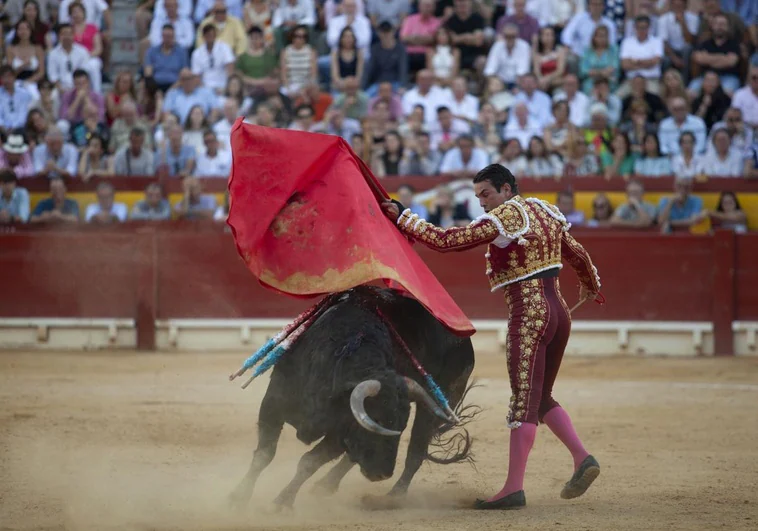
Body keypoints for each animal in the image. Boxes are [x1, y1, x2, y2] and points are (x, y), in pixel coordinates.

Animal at [229, 284, 478, 510]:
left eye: (401, 425)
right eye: (375, 420)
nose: (382, 474)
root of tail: (463, 337)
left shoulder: (341, 431)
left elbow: (308, 462)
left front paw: (282, 502)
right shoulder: (273, 403)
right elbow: (264, 454)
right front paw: (238, 497)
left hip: (438, 402)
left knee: (415, 453)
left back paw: (390, 498)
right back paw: (327, 485)